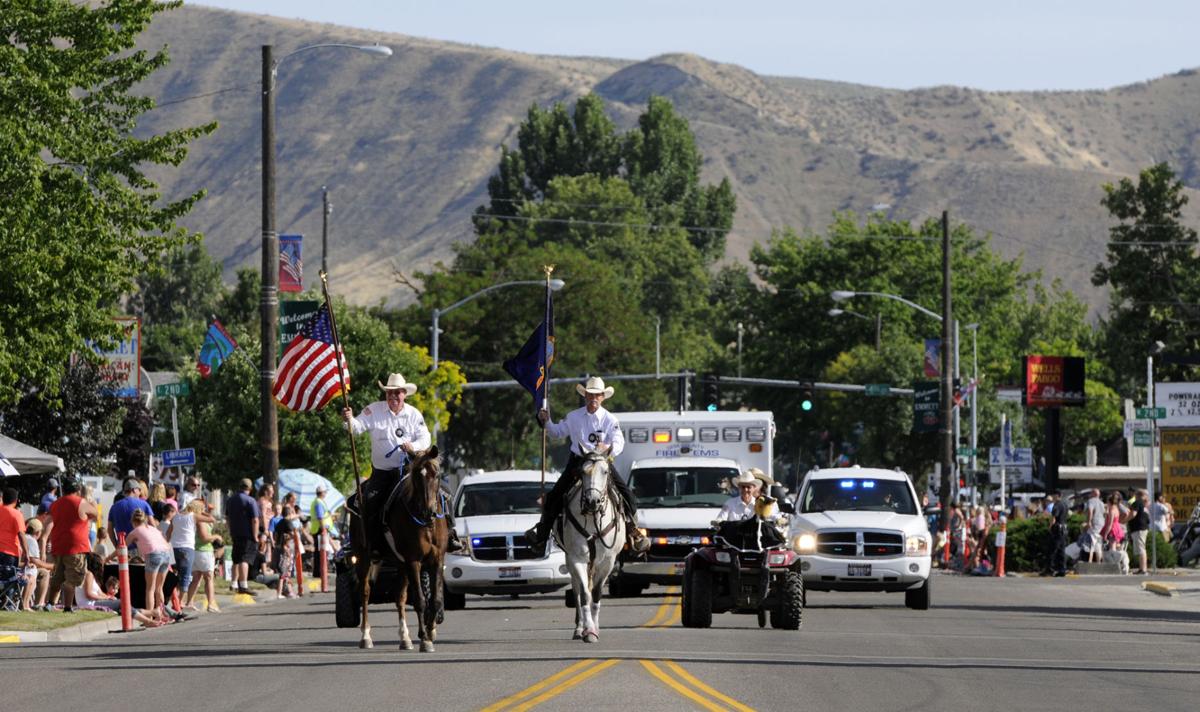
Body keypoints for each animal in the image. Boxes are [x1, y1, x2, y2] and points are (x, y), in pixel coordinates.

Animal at [352, 446, 451, 653]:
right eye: (416, 476)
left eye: (437, 474)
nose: (428, 511)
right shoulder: (413, 560)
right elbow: (420, 600)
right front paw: (424, 639)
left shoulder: (437, 559)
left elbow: (435, 599)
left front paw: (431, 630)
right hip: (363, 557)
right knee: (365, 592)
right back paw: (366, 637)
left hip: (400, 562)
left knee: (400, 596)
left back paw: (405, 638)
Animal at [554, 449, 624, 643]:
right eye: (582, 472)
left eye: (605, 471)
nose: (592, 501)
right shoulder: (576, 558)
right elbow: (584, 594)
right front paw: (589, 630)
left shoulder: (608, 561)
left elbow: (597, 593)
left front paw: (595, 629)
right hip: (571, 560)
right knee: (577, 590)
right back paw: (580, 628)